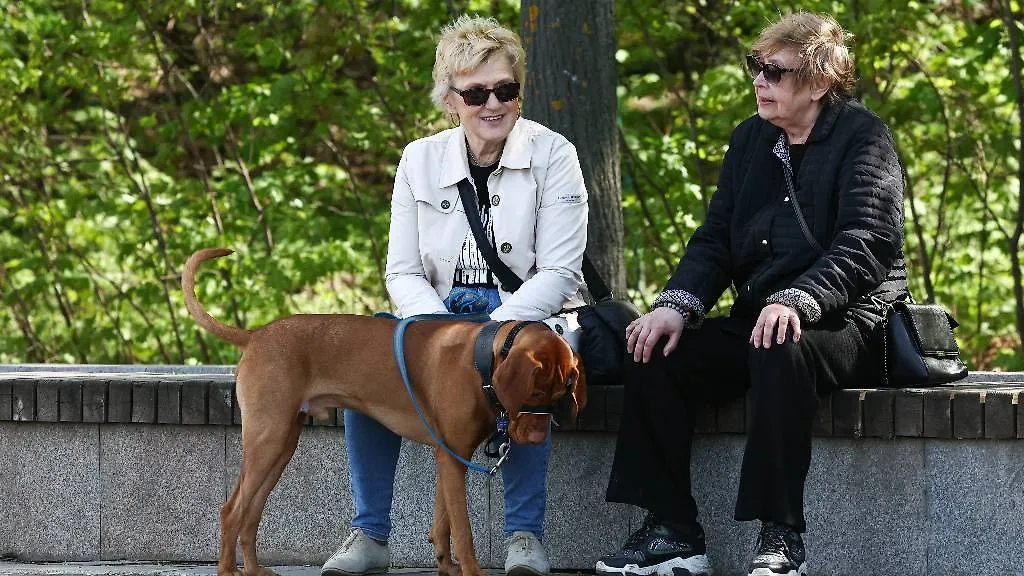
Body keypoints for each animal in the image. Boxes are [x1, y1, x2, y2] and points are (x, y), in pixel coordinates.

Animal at [180, 247, 589, 573]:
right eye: (534, 391)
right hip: (269, 438)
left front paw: (446, 568)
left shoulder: (448, 456)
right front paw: (469, 571)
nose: (537, 437)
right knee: (231, 511)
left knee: (250, 513)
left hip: (281, 443)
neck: (481, 360)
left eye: (562, 392)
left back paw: (252, 569)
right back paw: (229, 570)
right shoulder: (454, 458)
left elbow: (442, 525)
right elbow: (463, 533)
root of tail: (256, 334)